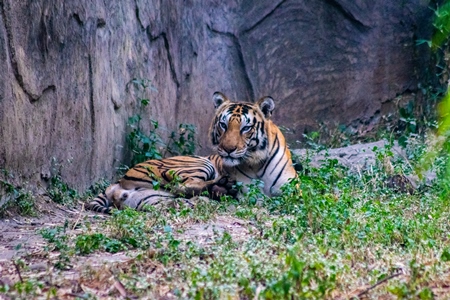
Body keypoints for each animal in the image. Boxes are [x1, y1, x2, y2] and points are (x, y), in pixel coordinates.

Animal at [86, 155, 237, 213]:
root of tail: (119, 181)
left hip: (150, 199)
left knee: (176, 201)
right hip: (199, 164)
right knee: (183, 186)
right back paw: (223, 186)